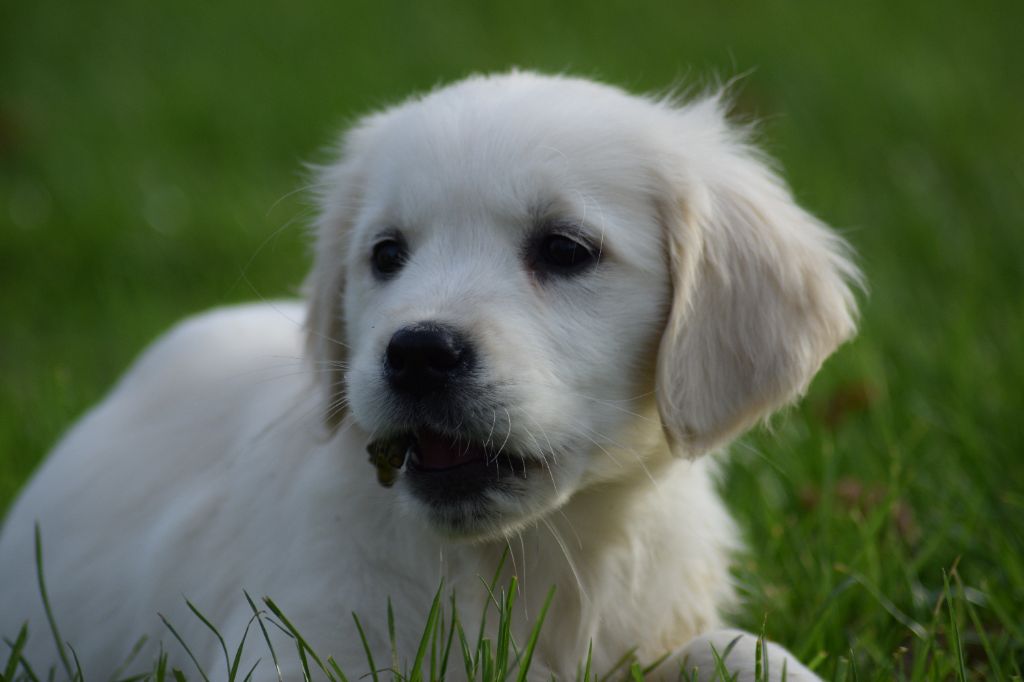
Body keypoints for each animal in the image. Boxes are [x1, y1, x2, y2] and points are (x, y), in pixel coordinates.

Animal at [0, 71, 860, 675]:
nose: (415, 353)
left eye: (565, 249)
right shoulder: (288, 643)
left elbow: (740, 650)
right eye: (386, 254)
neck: (522, 558)